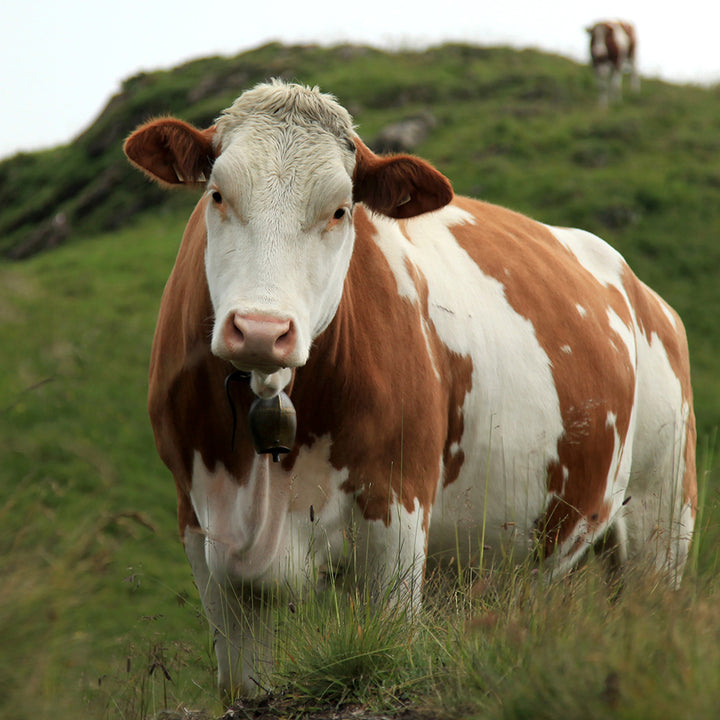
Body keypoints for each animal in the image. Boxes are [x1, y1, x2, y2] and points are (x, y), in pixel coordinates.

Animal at [125, 81, 696, 700]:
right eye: (217, 194)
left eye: (340, 209)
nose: (260, 329)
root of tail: (643, 293)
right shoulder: (202, 528)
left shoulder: (396, 513)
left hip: (662, 517)